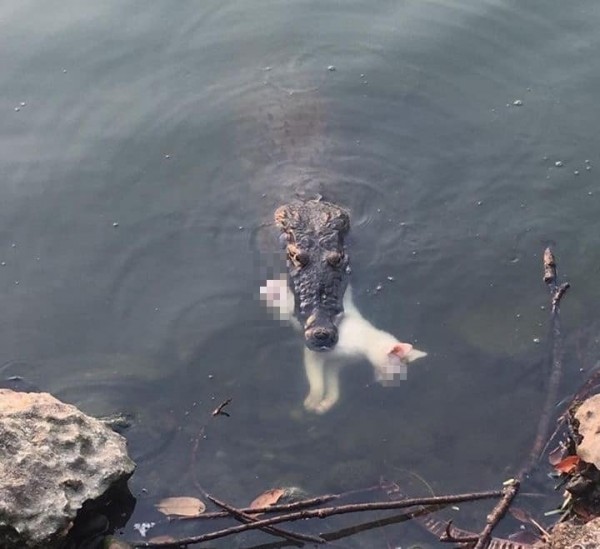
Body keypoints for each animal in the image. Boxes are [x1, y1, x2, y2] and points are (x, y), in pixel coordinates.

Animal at [258, 278, 426, 412]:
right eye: (395, 374)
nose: (388, 386)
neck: (364, 342)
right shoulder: (314, 351)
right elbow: (316, 379)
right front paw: (313, 400)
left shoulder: (337, 363)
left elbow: (332, 383)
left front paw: (324, 404)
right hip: (286, 305)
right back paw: (271, 289)